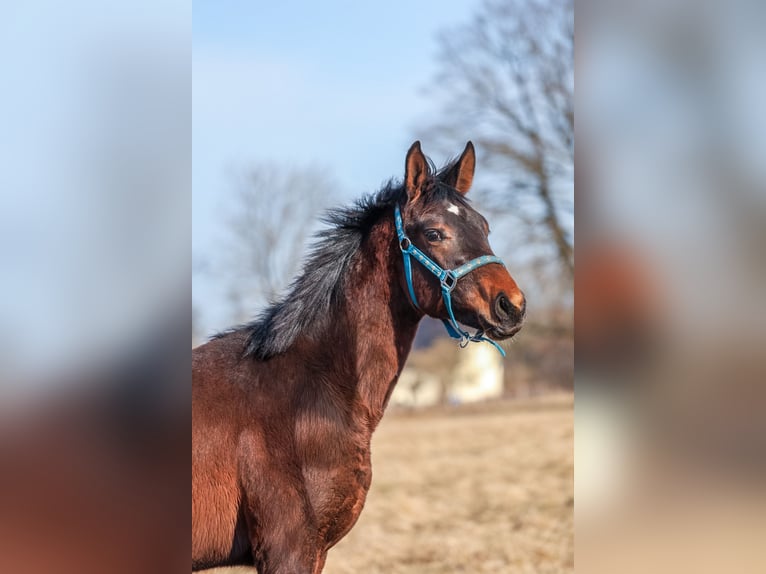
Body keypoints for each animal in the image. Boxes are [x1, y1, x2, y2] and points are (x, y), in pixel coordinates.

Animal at [192, 141, 526, 573]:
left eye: (484, 227)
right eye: (435, 233)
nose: (511, 305)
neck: (309, 389)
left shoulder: (315, 551)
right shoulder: (287, 549)